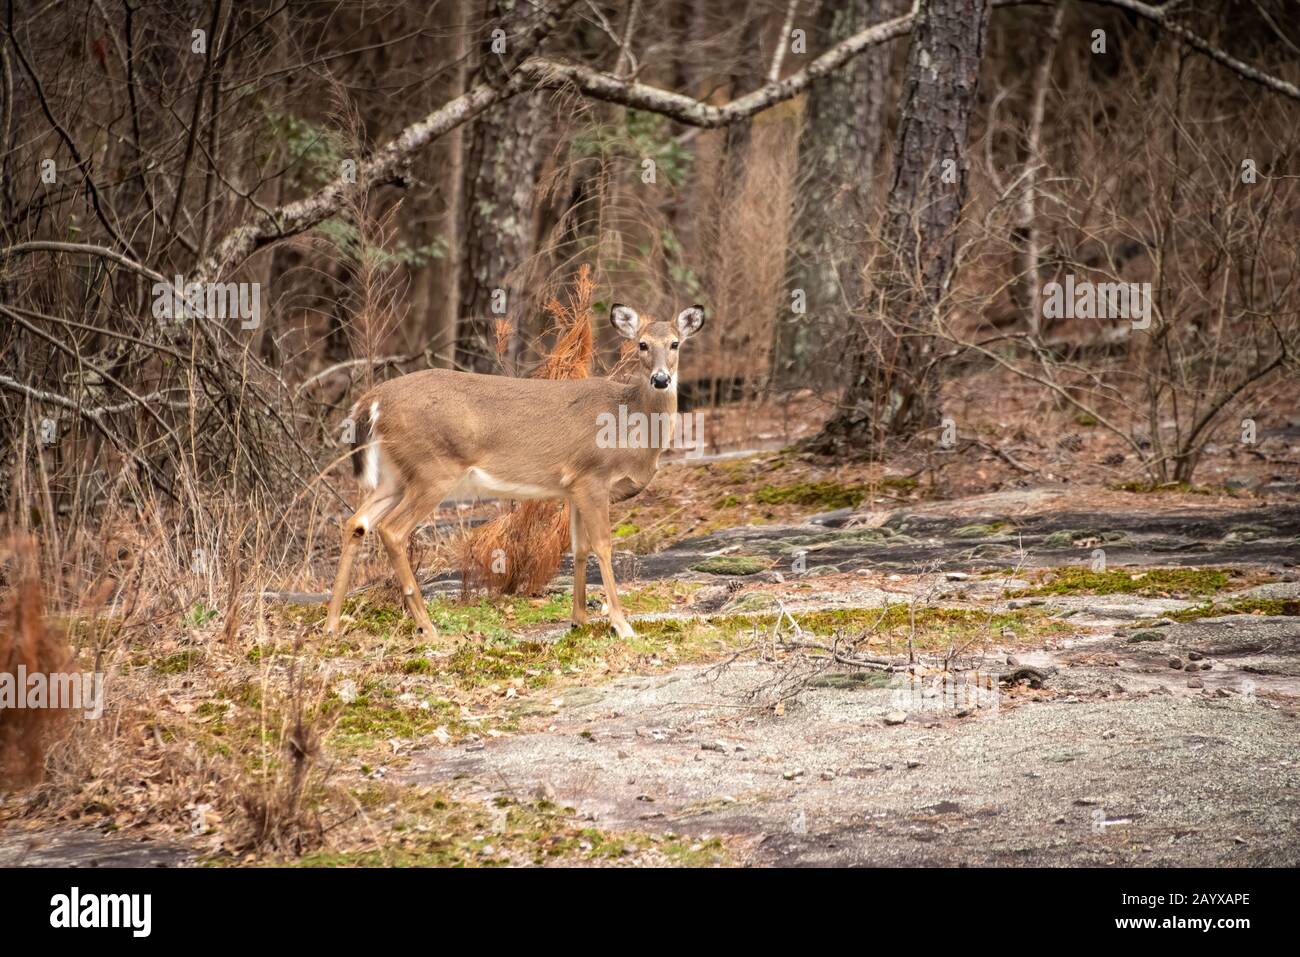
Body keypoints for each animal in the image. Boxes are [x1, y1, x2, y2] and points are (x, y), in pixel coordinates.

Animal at [330, 302, 707, 639]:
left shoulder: (573, 487)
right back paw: (427, 627)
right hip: (431, 469)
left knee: (357, 523)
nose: (661, 379)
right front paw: (621, 625)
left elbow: (579, 549)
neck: (629, 423)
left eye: (675, 343)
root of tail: (373, 399)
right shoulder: (593, 477)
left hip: (395, 475)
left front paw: (579, 621)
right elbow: (602, 546)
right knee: (392, 530)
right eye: (642, 344)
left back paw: (333, 624)